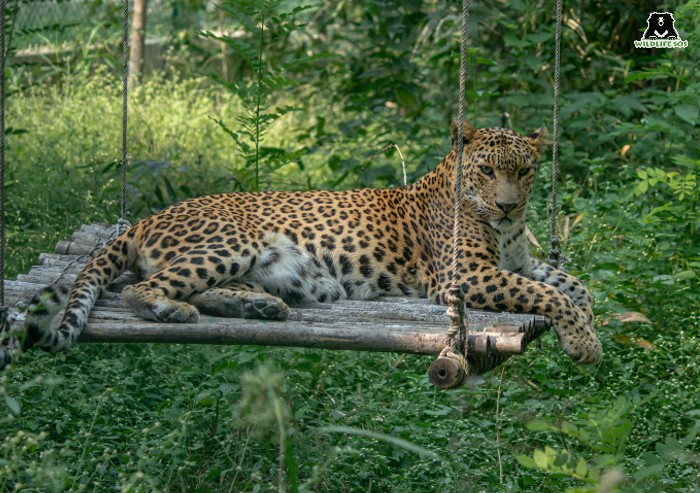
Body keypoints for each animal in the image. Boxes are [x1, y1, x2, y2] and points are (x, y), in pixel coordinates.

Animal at [6, 121, 600, 368]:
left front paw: (587, 332)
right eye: (488, 171)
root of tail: (146, 218)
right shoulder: (466, 276)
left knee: (204, 289)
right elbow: (551, 295)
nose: (509, 205)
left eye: (523, 171)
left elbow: (575, 287)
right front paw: (584, 343)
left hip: (281, 271)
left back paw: (260, 307)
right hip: (231, 243)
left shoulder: (522, 262)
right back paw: (173, 311)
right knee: (144, 288)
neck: (501, 229)